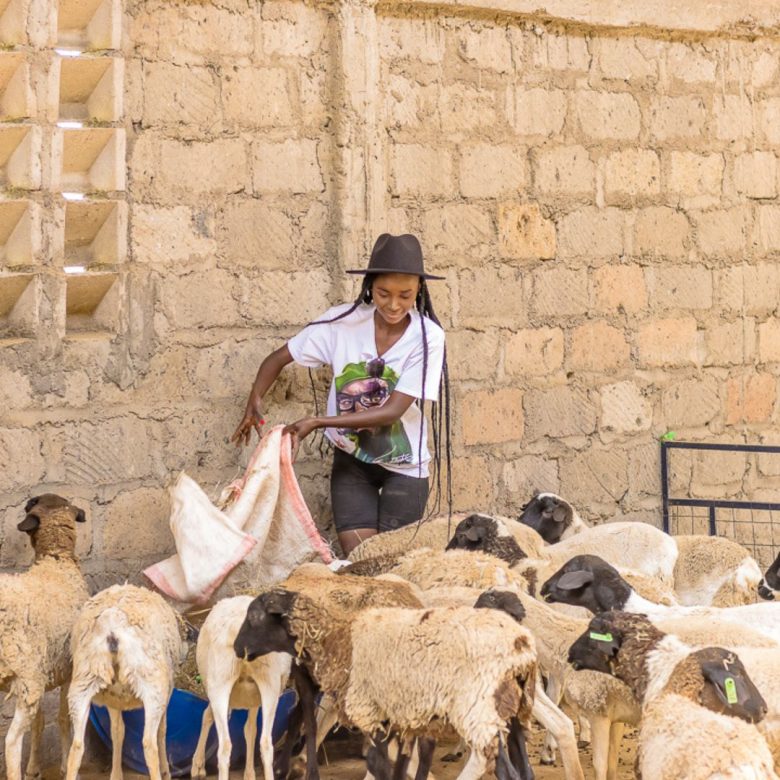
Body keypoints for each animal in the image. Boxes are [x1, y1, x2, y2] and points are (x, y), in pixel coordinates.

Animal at [0, 494, 90, 780]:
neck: (56, 559)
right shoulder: (68, 669)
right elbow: (63, 719)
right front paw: (64, 764)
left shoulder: (43, 669)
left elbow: (39, 724)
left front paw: (34, 768)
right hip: (28, 677)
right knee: (11, 741)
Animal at [65, 584, 189, 780]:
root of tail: (112, 627)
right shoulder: (167, 693)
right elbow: (162, 731)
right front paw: (166, 771)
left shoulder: (113, 699)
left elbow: (117, 732)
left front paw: (116, 774)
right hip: (151, 682)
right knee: (149, 743)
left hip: (84, 680)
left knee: (77, 746)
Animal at [189, 596, 292, 780]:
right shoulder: (254, 700)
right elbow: (250, 730)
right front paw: (249, 773)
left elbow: (244, 728)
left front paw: (198, 765)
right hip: (268, 684)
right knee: (265, 743)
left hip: (221, 681)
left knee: (225, 746)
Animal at [234, 587, 538, 780]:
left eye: (253, 616)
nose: (237, 648)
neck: (337, 637)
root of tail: (521, 647)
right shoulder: (397, 715)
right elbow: (398, 764)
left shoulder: (370, 710)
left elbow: (379, 763)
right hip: (514, 711)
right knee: (524, 769)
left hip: (478, 709)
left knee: (504, 770)